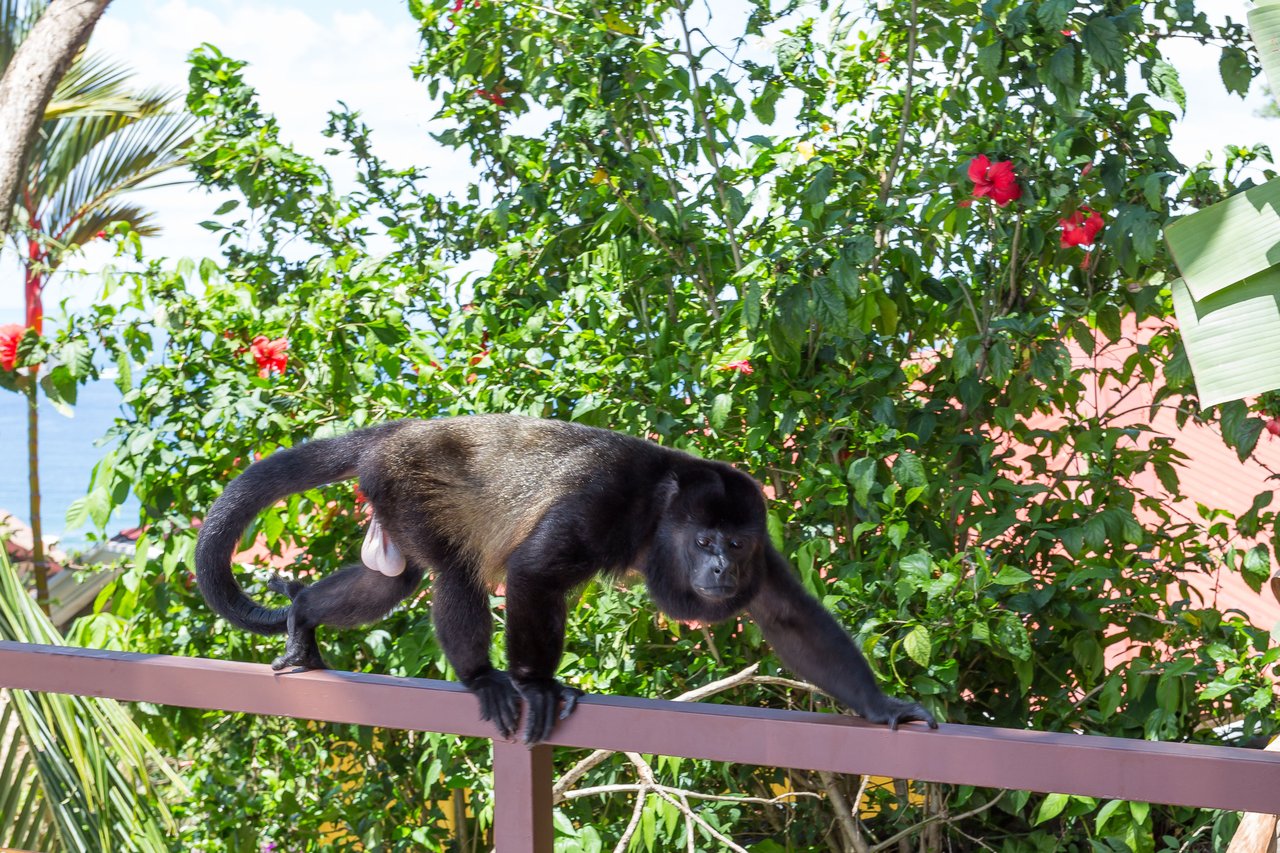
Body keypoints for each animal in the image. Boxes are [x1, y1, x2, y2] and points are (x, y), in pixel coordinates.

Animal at [194, 414, 936, 742]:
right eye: (704, 542)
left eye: (736, 542)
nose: (723, 568)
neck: (660, 509)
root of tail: (396, 434)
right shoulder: (604, 505)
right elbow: (533, 574)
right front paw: (536, 684)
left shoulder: (766, 541)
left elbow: (791, 618)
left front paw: (884, 707)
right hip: (405, 484)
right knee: (456, 573)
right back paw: (483, 677)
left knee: (389, 583)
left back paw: (301, 617)